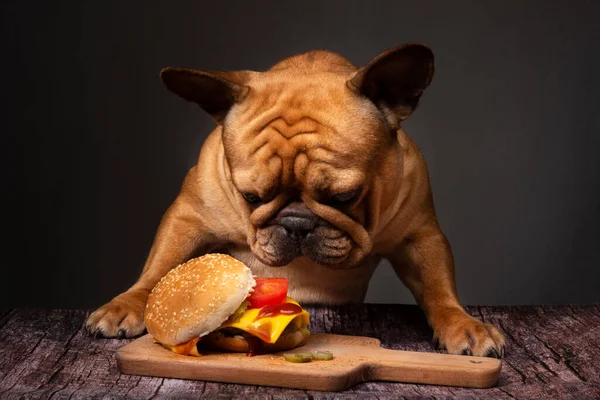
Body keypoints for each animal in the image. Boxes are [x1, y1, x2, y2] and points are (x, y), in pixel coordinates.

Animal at [85, 43, 506, 356]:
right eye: (251, 196)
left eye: (345, 196)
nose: (296, 222)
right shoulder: (188, 215)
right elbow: (158, 267)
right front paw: (127, 305)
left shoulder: (419, 234)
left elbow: (439, 287)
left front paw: (463, 324)